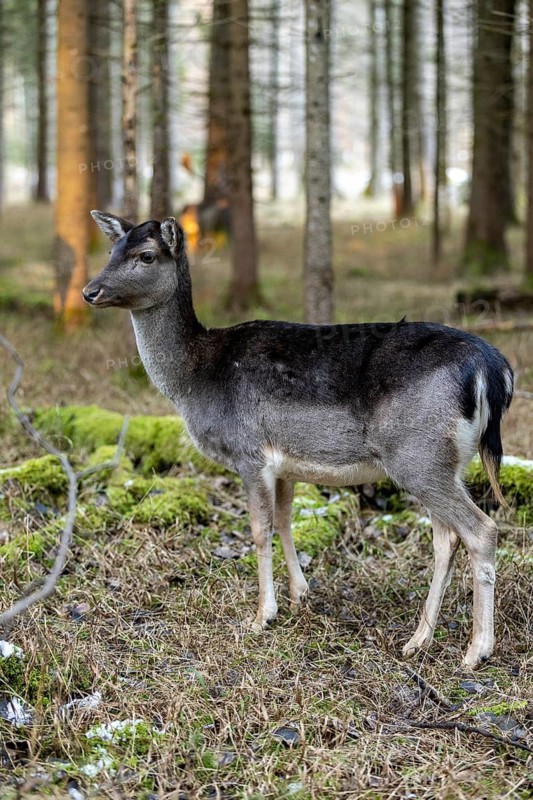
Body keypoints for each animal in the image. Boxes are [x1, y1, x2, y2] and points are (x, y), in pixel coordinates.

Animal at [83, 211, 514, 669]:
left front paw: (261, 616)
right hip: (444, 460)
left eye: (146, 255)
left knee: (481, 530)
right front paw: (299, 593)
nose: (90, 291)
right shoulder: (285, 465)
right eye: (112, 249)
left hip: (418, 455)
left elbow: (259, 529)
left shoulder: (249, 452)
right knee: (446, 539)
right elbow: (286, 521)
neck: (194, 379)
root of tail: (494, 370)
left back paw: (476, 650)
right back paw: (419, 638)